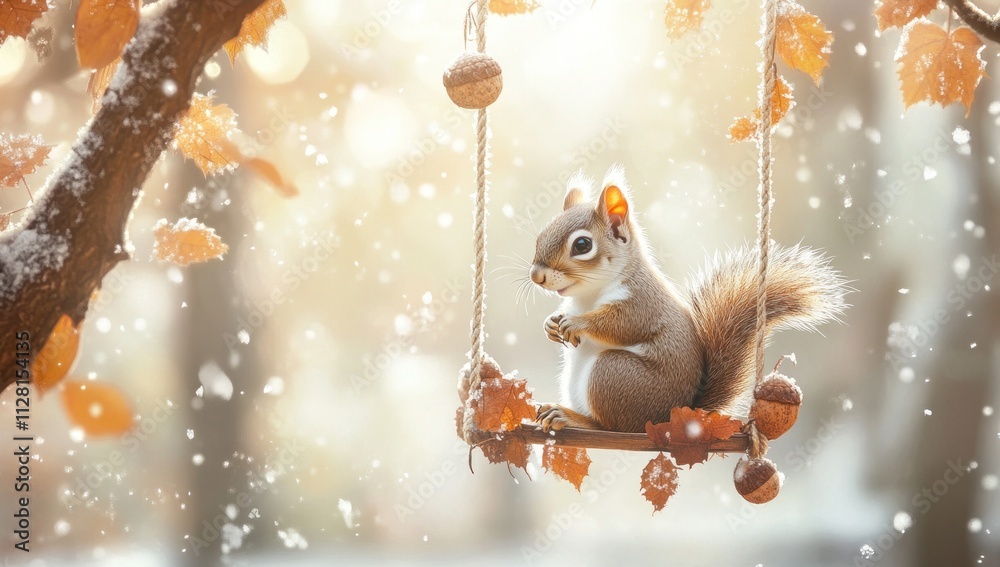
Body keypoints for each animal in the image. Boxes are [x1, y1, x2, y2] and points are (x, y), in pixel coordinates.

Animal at [529, 166, 847, 433]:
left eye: (582, 245)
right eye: (540, 235)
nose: (536, 276)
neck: (588, 295)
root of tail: (672, 416)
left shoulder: (643, 303)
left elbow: (624, 325)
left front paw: (576, 323)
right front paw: (550, 323)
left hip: (613, 376)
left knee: (612, 426)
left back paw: (572, 417)